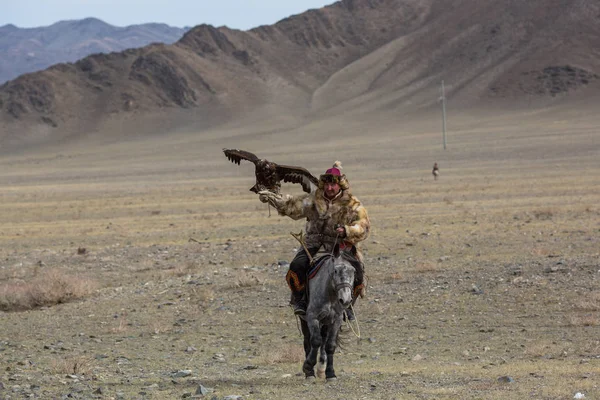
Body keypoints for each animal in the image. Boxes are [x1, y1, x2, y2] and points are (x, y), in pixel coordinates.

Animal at [300, 244, 356, 382]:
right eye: (335, 271)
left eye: (353, 271)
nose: (346, 300)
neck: (330, 295)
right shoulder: (312, 317)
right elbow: (315, 341)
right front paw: (308, 366)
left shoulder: (336, 320)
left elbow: (330, 345)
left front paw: (330, 373)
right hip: (305, 320)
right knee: (308, 341)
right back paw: (310, 373)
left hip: (325, 322)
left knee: (324, 340)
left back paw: (321, 368)